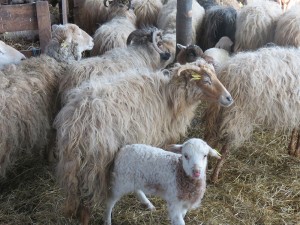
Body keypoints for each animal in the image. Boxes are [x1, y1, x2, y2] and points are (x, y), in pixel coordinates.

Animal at [0, 22, 93, 178]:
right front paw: (50, 158)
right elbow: (51, 139)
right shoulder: (53, 113)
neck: (58, 62)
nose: (92, 40)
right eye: (79, 34)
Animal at [52, 58, 233, 223]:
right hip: (95, 164)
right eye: (206, 80)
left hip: (76, 165)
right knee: (88, 203)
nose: (229, 98)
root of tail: (77, 122)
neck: (170, 97)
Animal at [202, 46, 300, 183]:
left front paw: (292, 149)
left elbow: (295, 130)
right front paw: (297, 152)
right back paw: (215, 177)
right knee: (226, 146)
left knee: (210, 137)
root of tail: (227, 73)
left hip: (218, 111)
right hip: (238, 116)